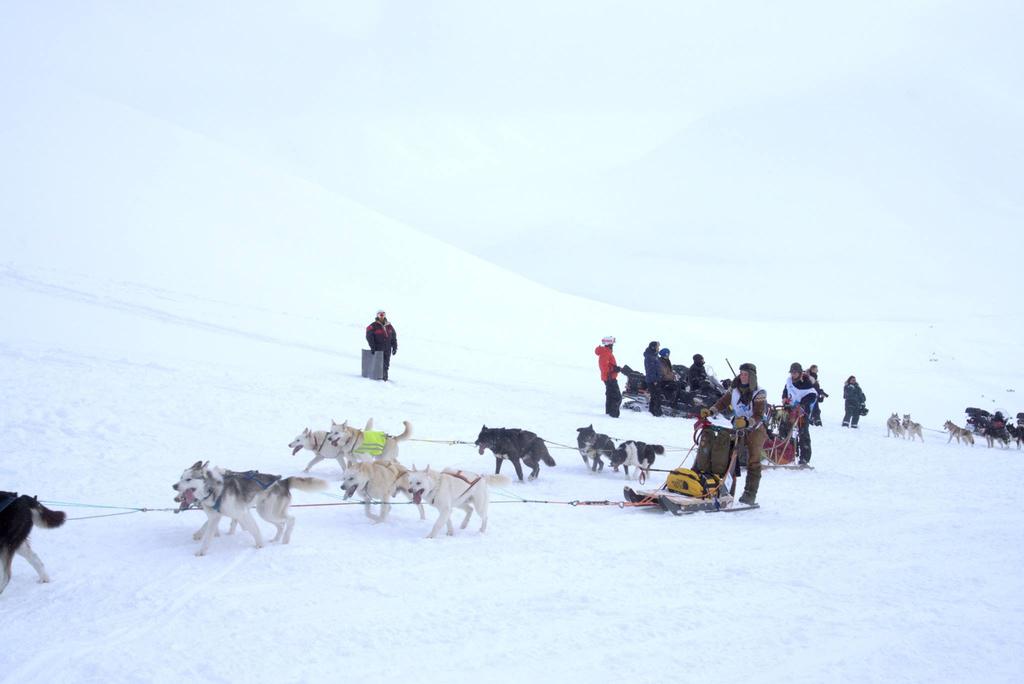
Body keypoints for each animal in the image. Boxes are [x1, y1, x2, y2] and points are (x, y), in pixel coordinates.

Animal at [169, 458, 325, 557]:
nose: (174, 486)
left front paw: (260, 546)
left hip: (269, 512)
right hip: (264, 512)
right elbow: (207, 536)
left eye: (188, 479)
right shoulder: (215, 517)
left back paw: (285, 540)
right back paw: (276, 539)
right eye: (181, 477)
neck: (213, 489)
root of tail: (283, 481)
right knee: (281, 524)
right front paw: (202, 551)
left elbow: (254, 530)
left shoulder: (242, 513)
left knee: (291, 519)